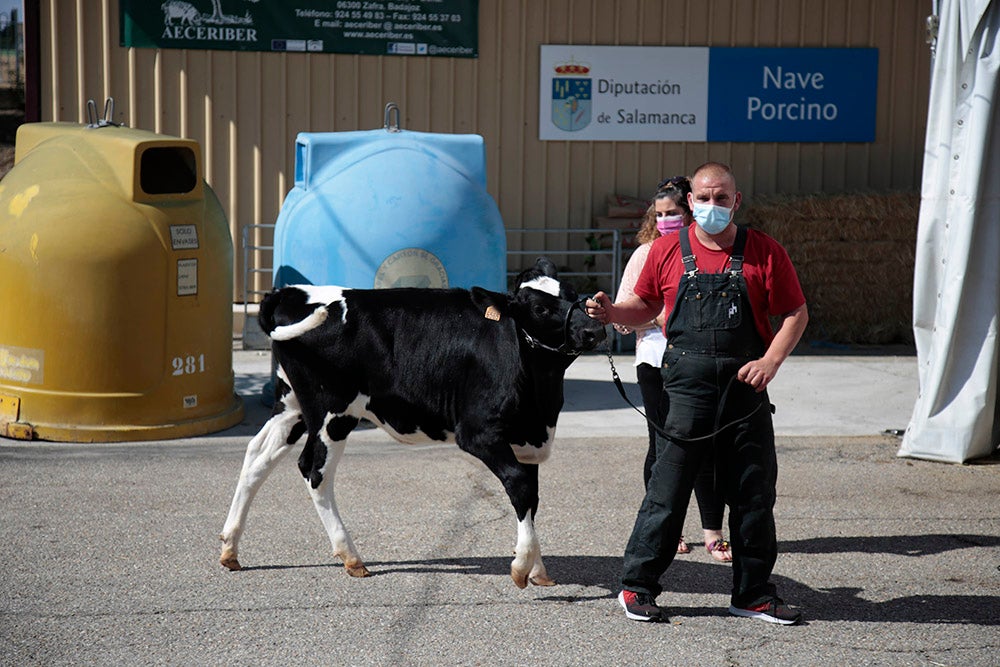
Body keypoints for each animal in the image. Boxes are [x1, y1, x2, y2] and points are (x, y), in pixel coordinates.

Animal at [220, 258, 604, 588]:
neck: (541, 404)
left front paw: (538, 569)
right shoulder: (478, 432)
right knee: (314, 470)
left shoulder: (527, 440)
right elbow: (520, 486)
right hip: (332, 413)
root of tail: (289, 292)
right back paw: (351, 557)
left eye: (573, 294)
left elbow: (532, 496)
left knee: (257, 456)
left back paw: (230, 549)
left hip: (291, 406)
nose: (594, 329)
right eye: (540, 309)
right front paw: (522, 566)